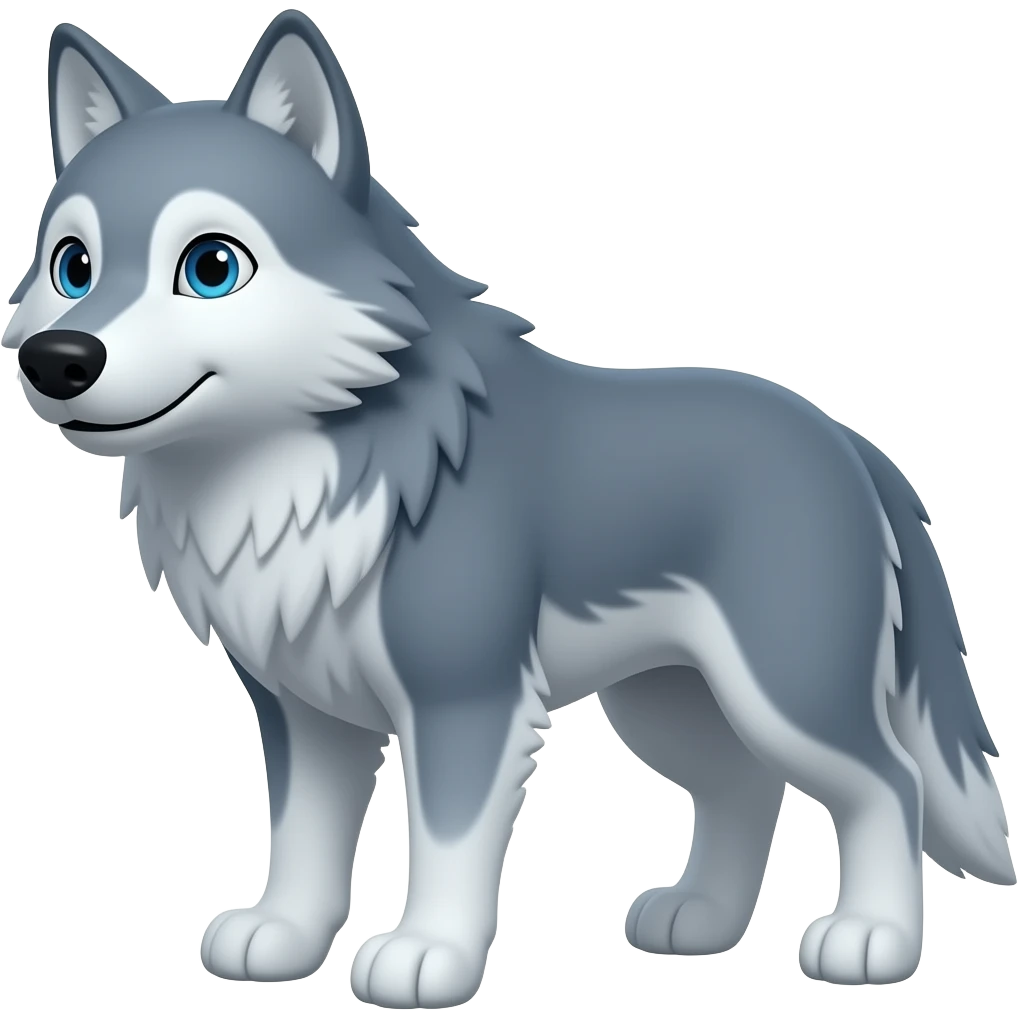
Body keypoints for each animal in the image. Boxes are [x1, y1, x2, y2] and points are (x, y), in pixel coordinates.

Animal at [4, 9, 1013, 1006]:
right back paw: (700, 923)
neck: (287, 470)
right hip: (669, 703)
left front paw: (427, 957)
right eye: (72, 265)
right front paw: (282, 938)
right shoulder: (304, 709)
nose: (58, 359)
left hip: (786, 687)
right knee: (743, 789)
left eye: (211, 267)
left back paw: (873, 940)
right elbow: (299, 838)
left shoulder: (467, 698)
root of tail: (845, 439)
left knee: (891, 783)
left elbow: (446, 841)